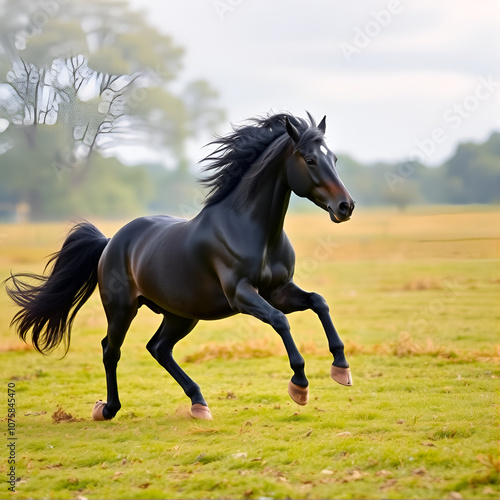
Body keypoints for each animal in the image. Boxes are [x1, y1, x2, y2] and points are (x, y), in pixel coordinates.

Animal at [4, 111, 356, 420]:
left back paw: (199, 403)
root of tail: (110, 242)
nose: (345, 206)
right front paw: (300, 386)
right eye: (309, 160)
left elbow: (318, 302)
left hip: (181, 314)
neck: (253, 231)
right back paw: (107, 409)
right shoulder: (242, 295)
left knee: (159, 348)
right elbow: (280, 321)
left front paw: (341, 368)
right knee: (111, 350)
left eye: (335, 159)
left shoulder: (278, 290)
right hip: (122, 309)